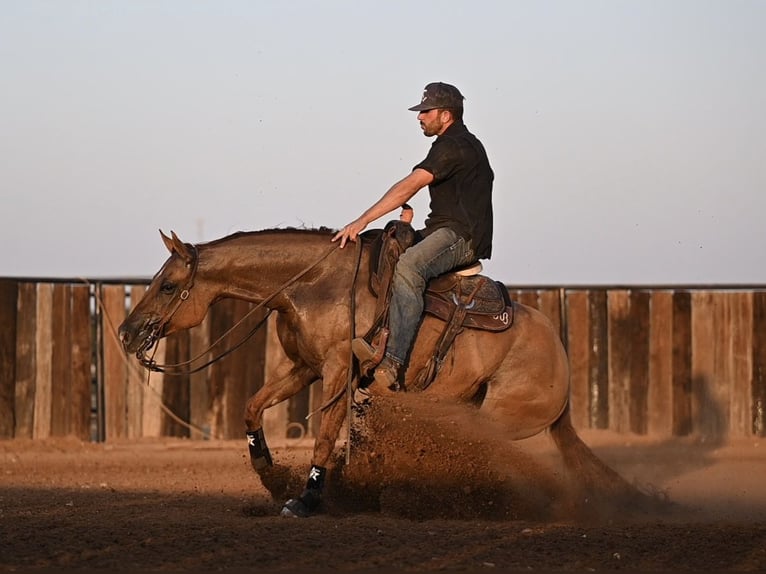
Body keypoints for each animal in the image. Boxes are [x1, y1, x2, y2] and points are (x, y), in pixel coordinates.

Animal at [118, 227, 636, 520]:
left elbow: (326, 434)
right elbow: (252, 407)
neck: (313, 285)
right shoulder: (304, 367)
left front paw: (306, 499)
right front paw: (267, 469)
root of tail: (561, 363)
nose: (126, 332)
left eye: (168, 286)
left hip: (497, 418)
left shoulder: (335, 371)